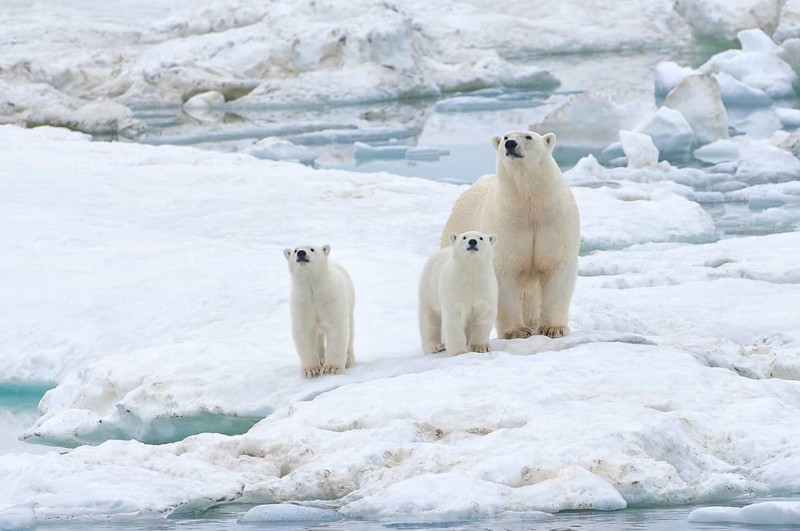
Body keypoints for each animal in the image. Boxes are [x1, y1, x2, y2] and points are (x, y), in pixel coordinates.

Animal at [283, 244, 355, 377]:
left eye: (312, 249)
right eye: (295, 250)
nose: (301, 253)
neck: (313, 289)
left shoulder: (330, 298)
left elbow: (337, 328)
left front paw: (332, 368)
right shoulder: (302, 303)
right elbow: (304, 331)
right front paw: (311, 370)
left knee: (350, 331)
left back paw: (348, 360)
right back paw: (321, 359)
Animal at [440, 130, 580, 339]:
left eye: (528, 136)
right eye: (505, 137)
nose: (511, 144)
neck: (530, 205)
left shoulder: (555, 221)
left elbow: (556, 266)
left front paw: (553, 328)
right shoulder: (506, 223)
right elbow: (503, 271)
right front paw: (517, 331)